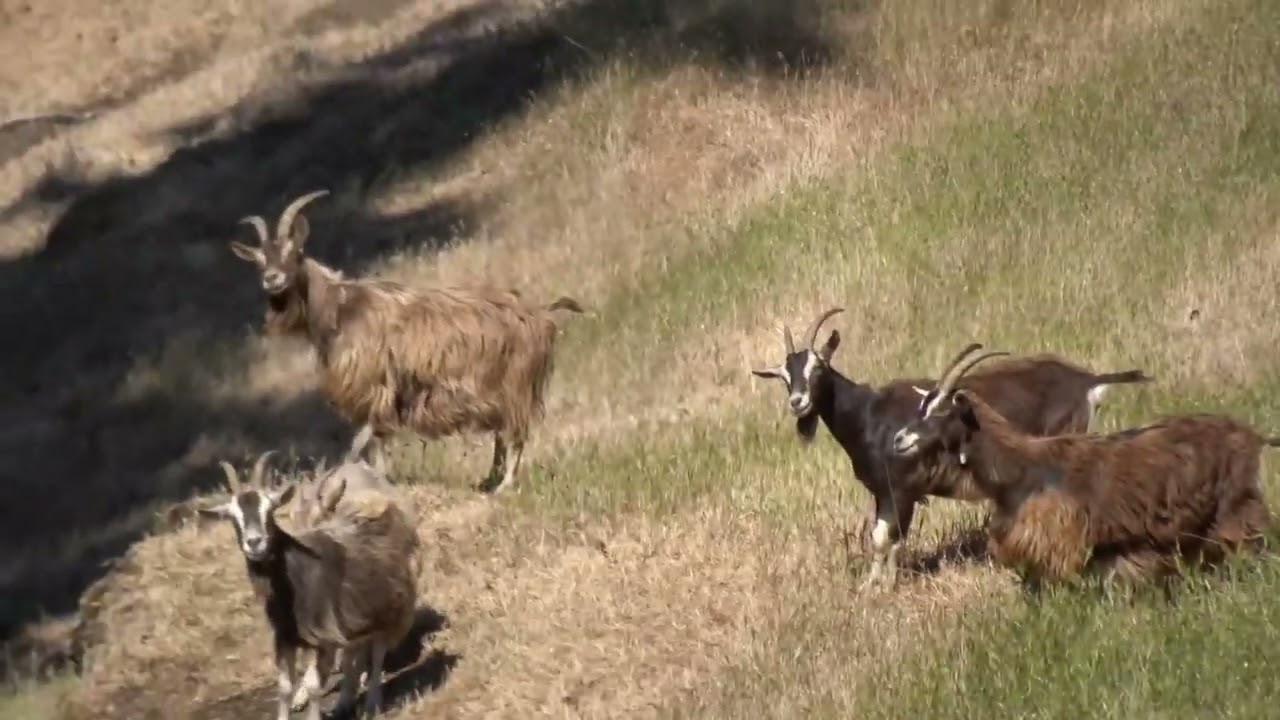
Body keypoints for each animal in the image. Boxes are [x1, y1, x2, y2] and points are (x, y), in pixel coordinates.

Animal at [198, 451, 420, 720]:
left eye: (270, 511)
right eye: (232, 517)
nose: (254, 542)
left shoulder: (325, 637)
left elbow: (315, 686)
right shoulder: (285, 638)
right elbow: (284, 688)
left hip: (392, 611)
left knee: (377, 654)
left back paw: (372, 704)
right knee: (356, 653)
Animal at [230, 190, 585, 493]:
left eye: (294, 252)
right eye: (260, 260)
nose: (271, 279)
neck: (340, 307)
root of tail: (540, 314)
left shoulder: (375, 387)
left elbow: (375, 440)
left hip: (516, 383)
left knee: (516, 433)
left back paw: (504, 485)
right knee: (504, 433)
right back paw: (490, 479)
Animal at [750, 308, 1152, 590]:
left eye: (818, 367)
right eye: (785, 376)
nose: (798, 402)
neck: (869, 415)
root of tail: (1087, 381)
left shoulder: (901, 490)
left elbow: (888, 540)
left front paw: (885, 587)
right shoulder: (883, 492)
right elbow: (882, 538)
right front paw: (871, 585)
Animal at [890, 344, 1276, 589]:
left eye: (941, 412)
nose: (899, 439)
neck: (1021, 467)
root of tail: (1251, 436)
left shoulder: (1060, 543)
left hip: (1235, 510)